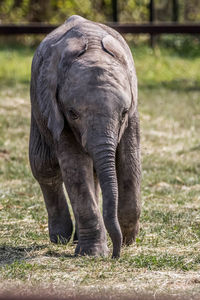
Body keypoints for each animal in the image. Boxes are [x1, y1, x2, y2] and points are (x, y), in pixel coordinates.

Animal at [29, 14, 141, 258]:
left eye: (123, 113)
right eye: (73, 113)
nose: (116, 255)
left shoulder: (133, 114)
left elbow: (129, 161)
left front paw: (128, 239)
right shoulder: (56, 111)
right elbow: (75, 169)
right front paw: (93, 254)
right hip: (37, 107)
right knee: (44, 166)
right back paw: (61, 238)